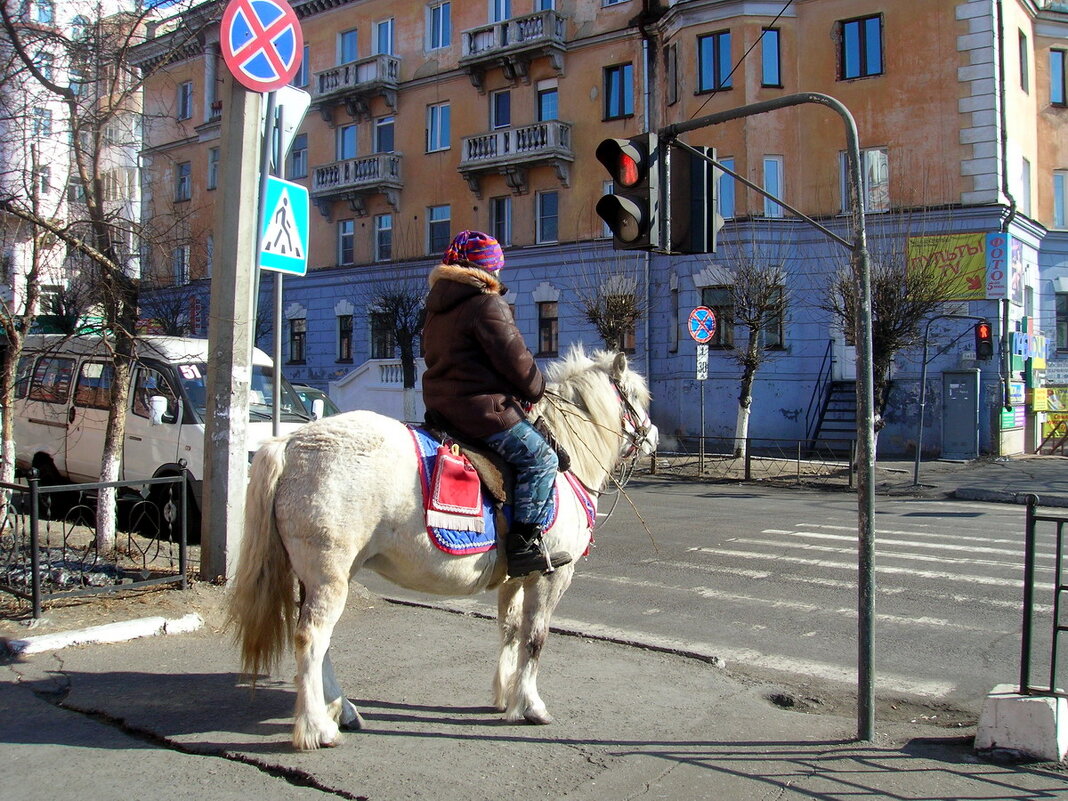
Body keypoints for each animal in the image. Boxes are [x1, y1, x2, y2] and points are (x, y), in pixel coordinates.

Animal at [229, 348, 653, 751]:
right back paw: (319, 728)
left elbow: (510, 630)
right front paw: (531, 705)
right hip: (329, 576)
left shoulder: (516, 577)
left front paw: (505, 696)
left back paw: (343, 710)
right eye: (635, 395)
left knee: (321, 642)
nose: (653, 435)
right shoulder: (551, 576)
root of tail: (289, 443)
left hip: (322, 577)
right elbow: (535, 638)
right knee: (311, 639)